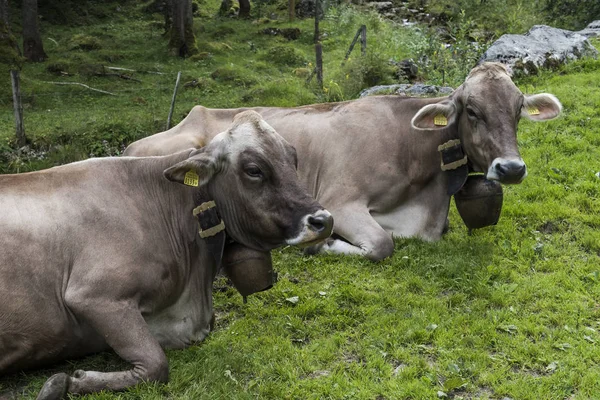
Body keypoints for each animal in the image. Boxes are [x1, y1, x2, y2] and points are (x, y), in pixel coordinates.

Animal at [0, 111, 332, 398]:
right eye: (254, 170)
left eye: (293, 158)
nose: (323, 220)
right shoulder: (93, 295)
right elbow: (156, 365)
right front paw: (69, 382)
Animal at [125, 61, 564, 262]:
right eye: (472, 111)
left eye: (518, 109)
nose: (511, 168)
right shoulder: (340, 200)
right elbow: (382, 244)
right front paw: (324, 244)